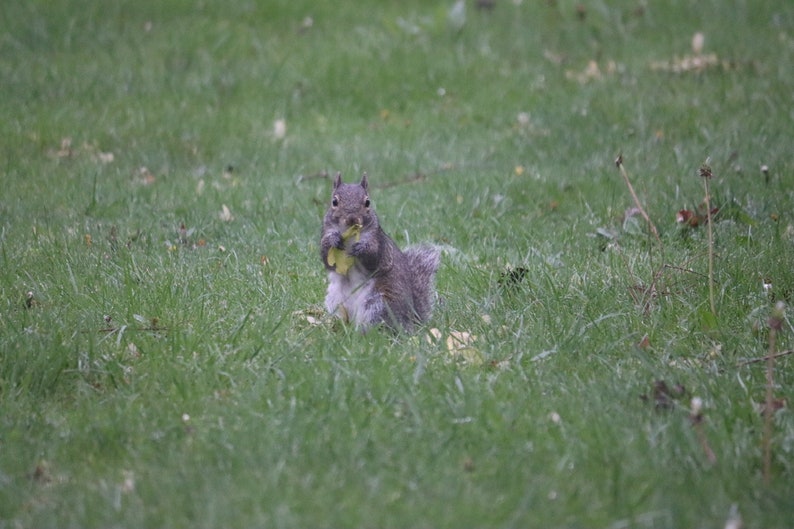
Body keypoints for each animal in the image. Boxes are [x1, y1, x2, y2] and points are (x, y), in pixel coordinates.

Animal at [320, 172, 440, 332]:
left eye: (367, 202)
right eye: (334, 201)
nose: (352, 219)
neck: (350, 236)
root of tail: (409, 320)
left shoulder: (379, 243)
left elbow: (374, 258)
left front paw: (361, 249)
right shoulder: (326, 235)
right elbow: (326, 258)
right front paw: (333, 240)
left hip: (380, 302)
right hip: (336, 301)